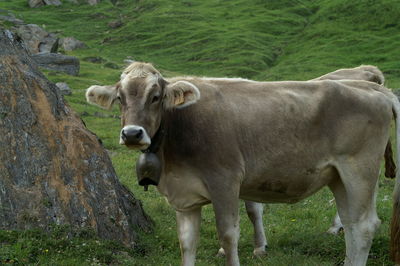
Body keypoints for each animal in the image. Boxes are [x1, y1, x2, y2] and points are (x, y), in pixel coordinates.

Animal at [86, 62, 398, 266]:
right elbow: (186, 241)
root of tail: (372, 87)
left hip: (359, 170)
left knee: (364, 226)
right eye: (120, 98)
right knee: (351, 224)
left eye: (156, 96)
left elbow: (228, 235)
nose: (132, 134)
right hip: (338, 176)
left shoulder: (225, 181)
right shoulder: (184, 196)